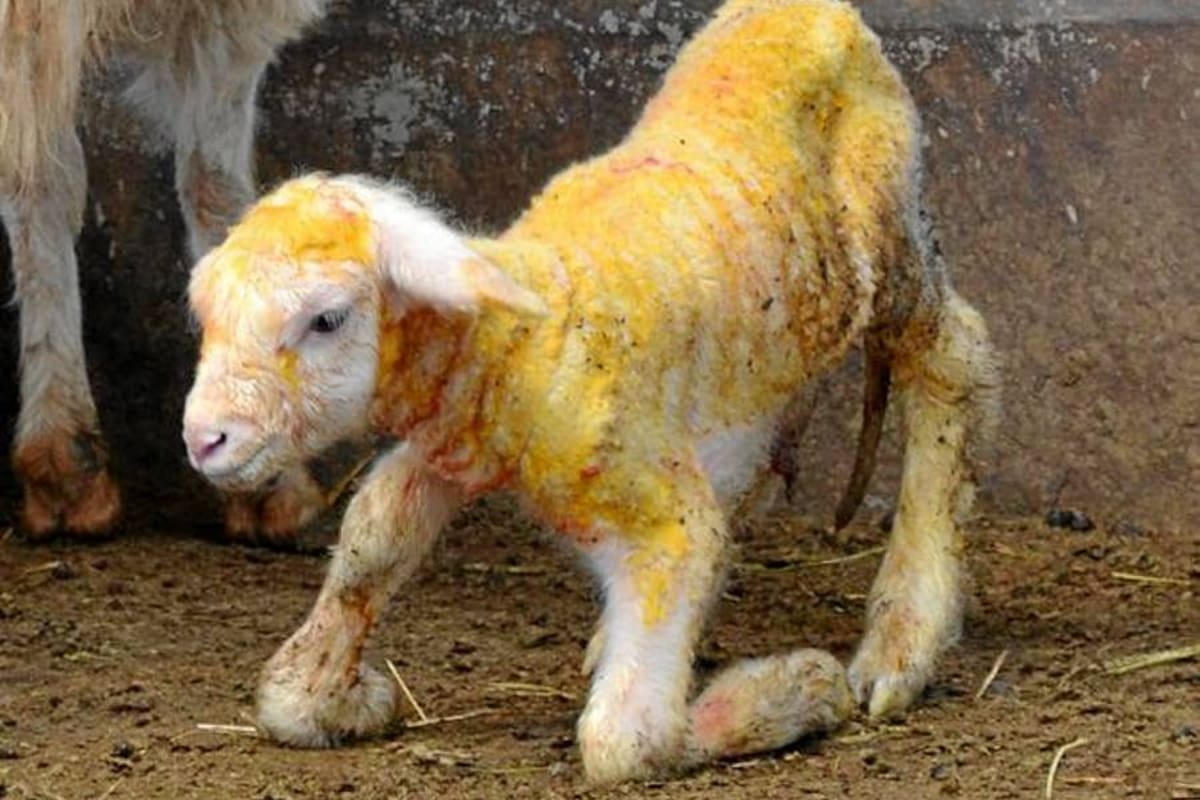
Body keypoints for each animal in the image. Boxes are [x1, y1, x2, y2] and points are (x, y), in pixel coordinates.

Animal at [182, 0, 998, 784]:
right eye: (209, 315)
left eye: (325, 319)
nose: (203, 438)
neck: (522, 342)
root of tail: (815, 13)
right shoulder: (455, 440)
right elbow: (372, 540)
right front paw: (343, 696)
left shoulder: (662, 518)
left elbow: (624, 741)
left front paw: (793, 691)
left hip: (890, 239)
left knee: (954, 357)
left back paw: (900, 640)